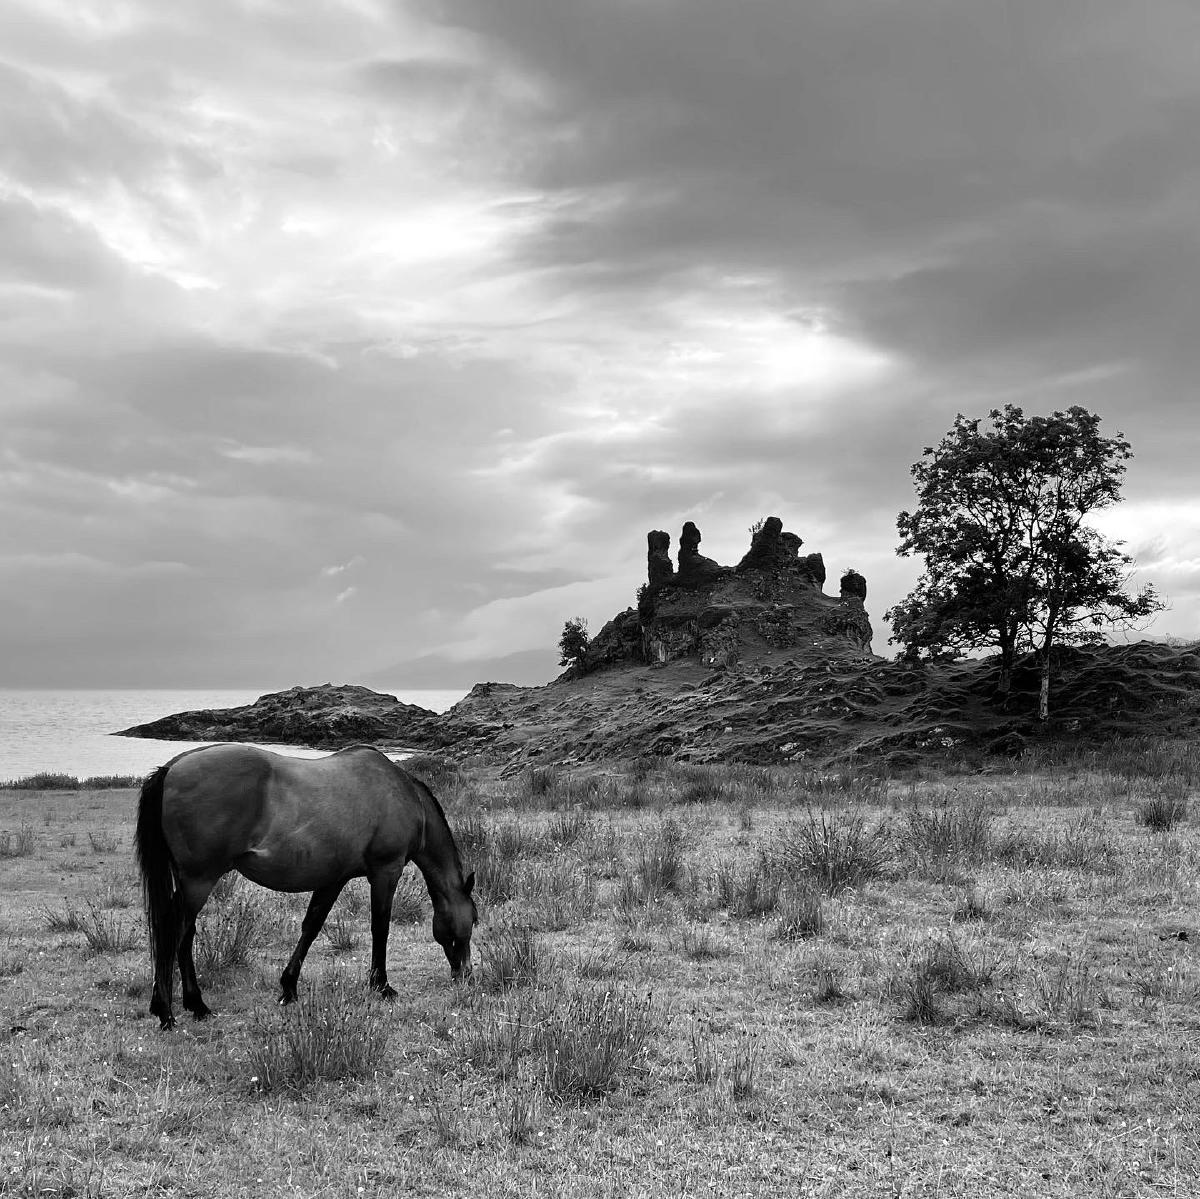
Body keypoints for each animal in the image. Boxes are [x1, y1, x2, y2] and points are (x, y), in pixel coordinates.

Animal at [134, 742, 476, 1030]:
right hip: (199, 881)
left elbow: (311, 926)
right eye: (473, 920)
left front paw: (289, 987)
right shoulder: (385, 871)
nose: (466, 975)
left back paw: (188, 1005)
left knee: (180, 933)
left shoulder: (333, 878)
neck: (404, 795)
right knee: (174, 932)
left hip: (190, 883)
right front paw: (381, 985)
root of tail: (172, 768)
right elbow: (380, 927)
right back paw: (170, 1010)